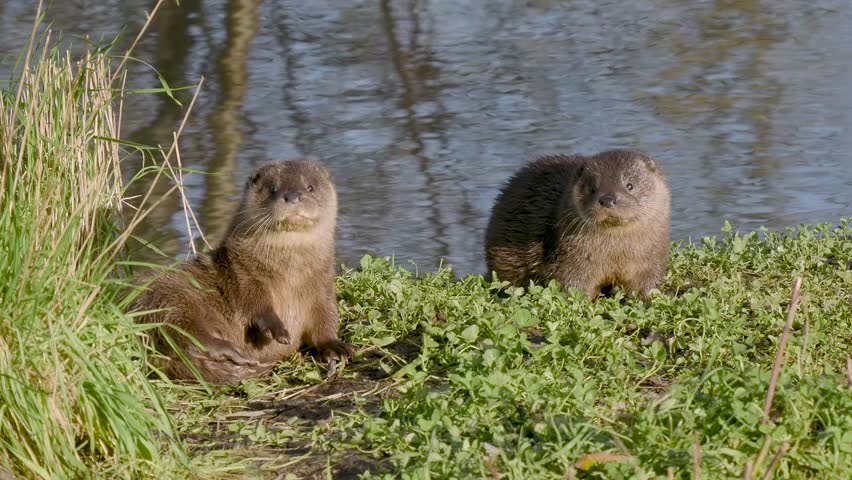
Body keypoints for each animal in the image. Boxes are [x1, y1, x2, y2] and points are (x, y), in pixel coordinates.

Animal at [130, 160, 353, 385]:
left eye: (310, 187)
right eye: (273, 189)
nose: (293, 196)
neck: (290, 273)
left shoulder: (322, 284)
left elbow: (326, 318)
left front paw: (335, 346)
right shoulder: (244, 276)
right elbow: (254, 303)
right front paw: (274, 327)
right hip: (165, 297)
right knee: (180, 330)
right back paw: (230, 351)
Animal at [484, 149, 671, 298]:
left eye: (630, 185)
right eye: (592, 188)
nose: (607, 199)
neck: (615, 252)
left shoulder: (650, 261)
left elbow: (647, 284)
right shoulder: (572, 261)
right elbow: (572, 284)